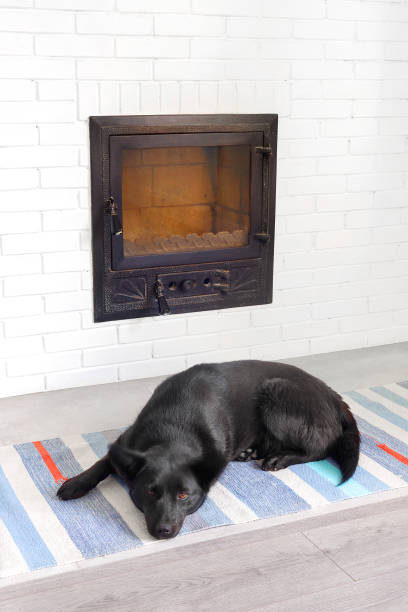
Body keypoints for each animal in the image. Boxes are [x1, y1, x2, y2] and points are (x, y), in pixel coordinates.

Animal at [58, 360, 360, 536]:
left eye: (183, 496)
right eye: (150, 492)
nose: (164, 531)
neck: (174, 429)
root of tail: (332, 394)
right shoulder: (127, 442)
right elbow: (104, 461)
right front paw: (76, 483)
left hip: (277, 392)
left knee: (322, 446)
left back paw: (279, 458)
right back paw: (253, 452)